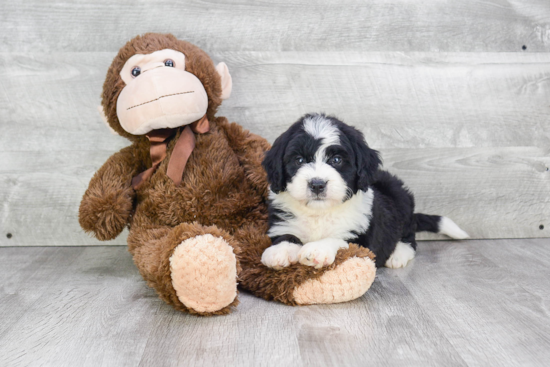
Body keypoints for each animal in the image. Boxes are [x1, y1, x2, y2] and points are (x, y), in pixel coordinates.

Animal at [260, 113, 468, 272]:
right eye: (299, 160)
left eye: (336, 160)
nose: (317, 184)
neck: (320, 213)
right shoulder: (282, 223)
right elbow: (286, 235)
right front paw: (280, 251)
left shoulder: (364, 241)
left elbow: (340, 240)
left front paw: (318, 249)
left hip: (400, 198)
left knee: (409, 237)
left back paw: (398, 254)